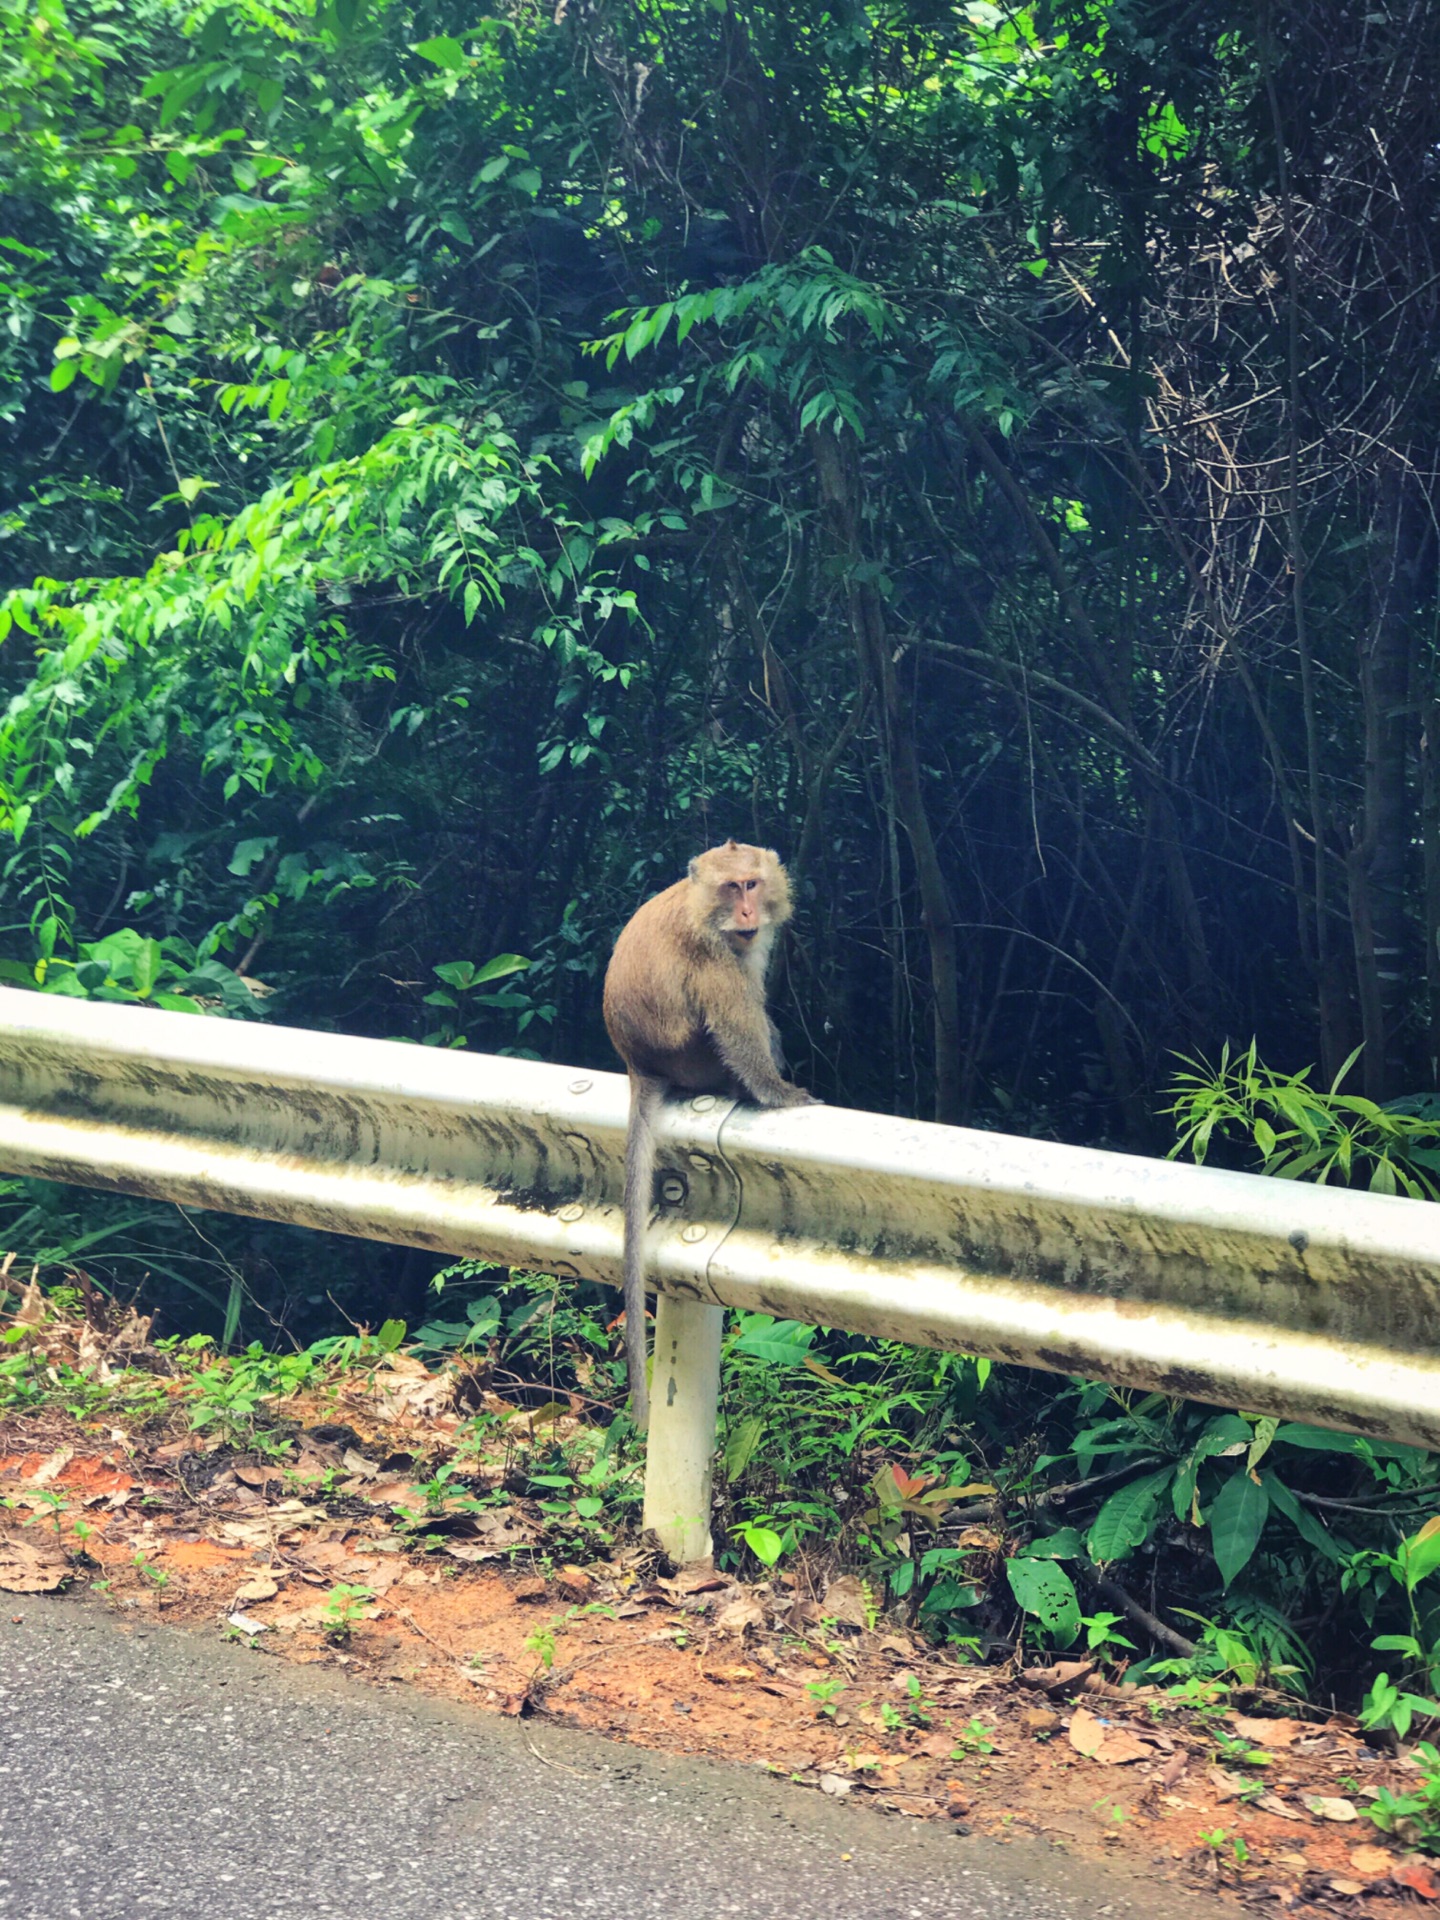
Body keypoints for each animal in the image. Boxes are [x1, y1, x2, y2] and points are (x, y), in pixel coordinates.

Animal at [602, 833, 817, 1436]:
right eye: (731, 887)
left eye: (752, 883)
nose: (747, 913)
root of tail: (639, 1065)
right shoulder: (712, 953)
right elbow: (738, 1026)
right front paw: (781, 1094)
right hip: (696, 1062)